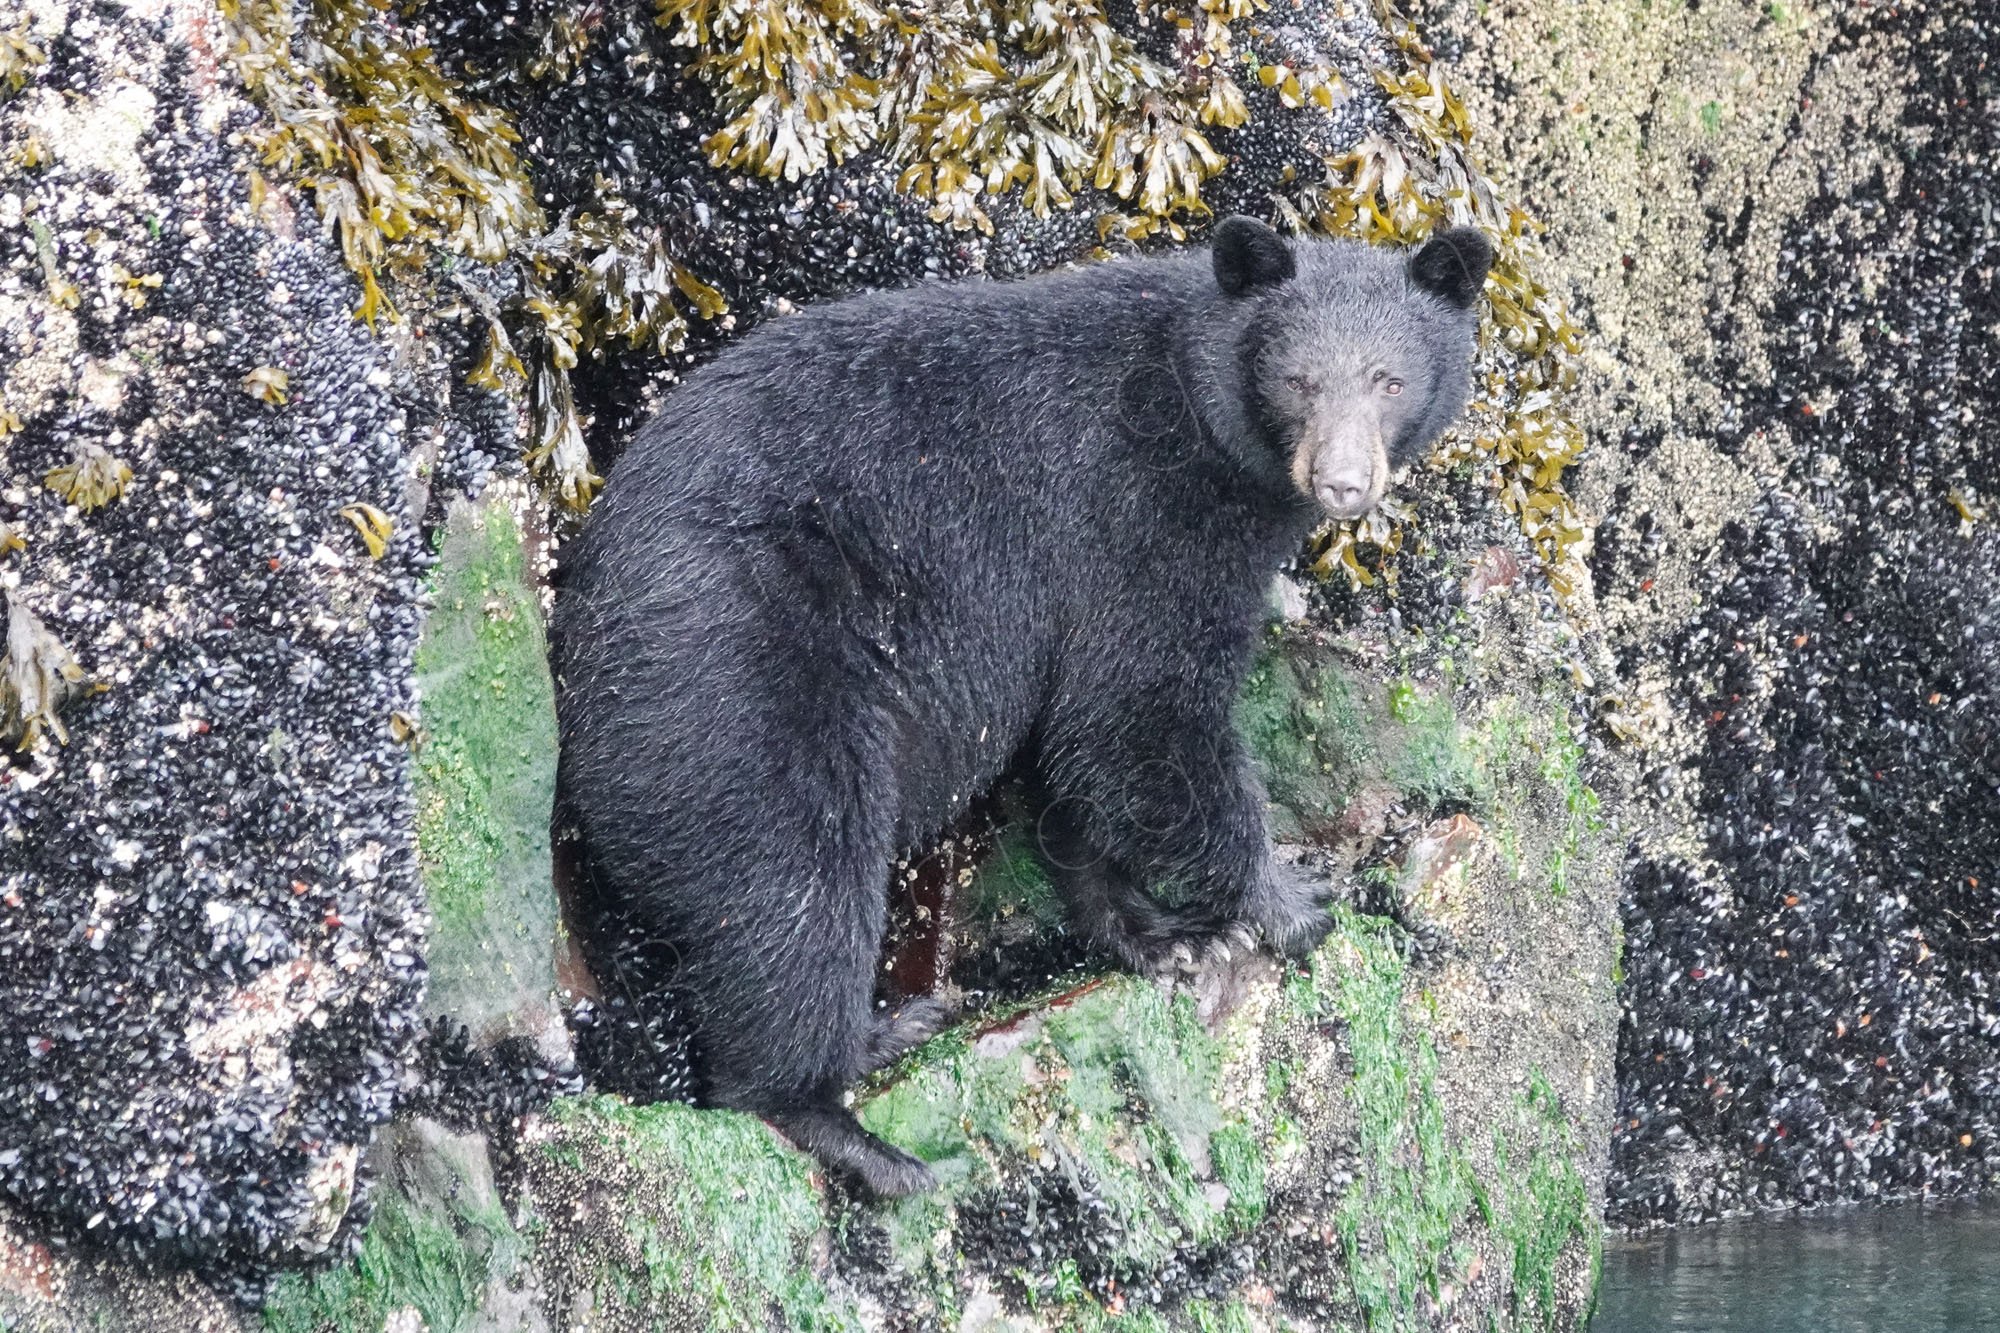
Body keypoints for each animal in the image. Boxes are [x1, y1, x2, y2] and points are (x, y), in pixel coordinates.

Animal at [551, 216, 1492, 1197]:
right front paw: (1286, 896)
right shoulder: (1138, 517)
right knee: (792, 884)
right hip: (737, 680)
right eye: (1300, 379)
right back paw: (860, 1129)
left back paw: (894, 1027)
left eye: (1390, 380)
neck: (1201, 416)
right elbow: (1137, 712)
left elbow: (1074, 748)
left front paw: (1152, 931)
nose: (1344, 482)